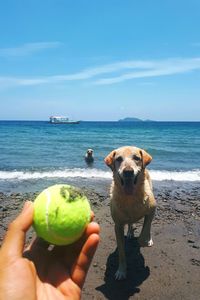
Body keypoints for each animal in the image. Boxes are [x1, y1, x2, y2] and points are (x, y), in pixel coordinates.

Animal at [104, 145, 156, 278]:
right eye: (118, 159)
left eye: (137, 158)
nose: (128, 171)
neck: (130, 198)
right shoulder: (117, 225)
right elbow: (121, 252)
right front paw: (121, 271)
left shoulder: (152, 209)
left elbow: (145, 230)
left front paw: (144, 241)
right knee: (130, 222)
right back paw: (130, 232)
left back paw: (148, 239)